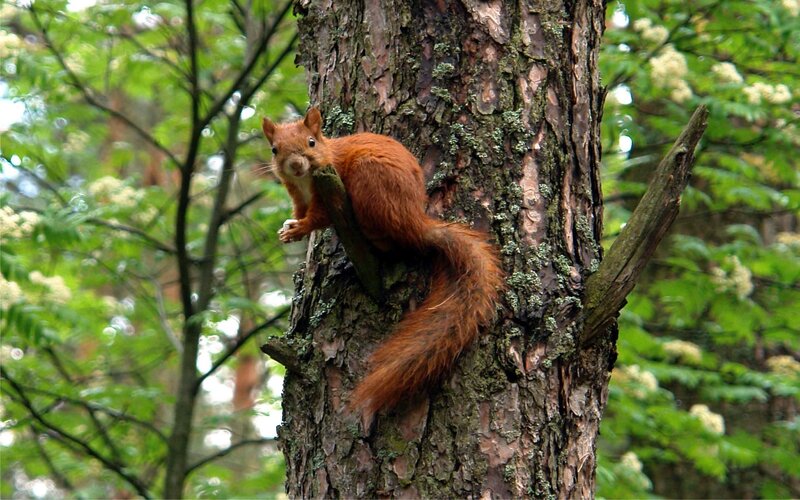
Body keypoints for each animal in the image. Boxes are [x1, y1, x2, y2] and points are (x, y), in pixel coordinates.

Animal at [262, 107, 504, 418]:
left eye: (311, 142)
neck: (306, 180)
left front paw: (299, 229)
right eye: (274, 149)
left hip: (370, 183)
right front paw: (289, 230)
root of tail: (417, 224)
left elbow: (318, 218)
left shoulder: (327, 192)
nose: (295, 165)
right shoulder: (297, 195)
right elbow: (300, 212)